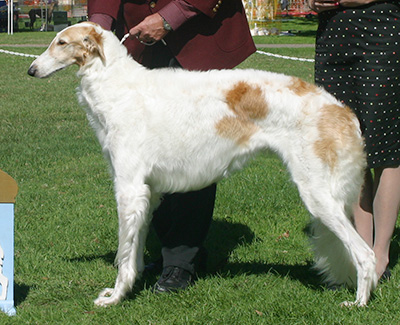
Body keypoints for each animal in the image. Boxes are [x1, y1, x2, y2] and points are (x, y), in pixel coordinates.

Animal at [28, 22, 378, 306]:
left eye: (61, 42)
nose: (31, 70)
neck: (117, 85)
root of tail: (340, 108)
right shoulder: (147, 192)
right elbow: (134, 252)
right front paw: (131, 285)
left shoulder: (129, 189)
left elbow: (123, 255)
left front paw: (115, 296)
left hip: (317, 194)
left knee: (366, 254)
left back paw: (358, 303)